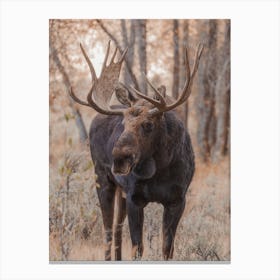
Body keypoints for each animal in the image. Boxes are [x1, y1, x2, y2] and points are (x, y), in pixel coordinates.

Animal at [69, 40, 202, 260]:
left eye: (148, 124)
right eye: (123, 124)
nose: (118, 158)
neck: (160, 170)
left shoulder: (178, 200)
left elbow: (167, 249)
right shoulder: (134, 197)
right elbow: (137, 248)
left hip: (120, 191)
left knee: (116, 228)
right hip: (102, 179)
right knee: (107, 229)